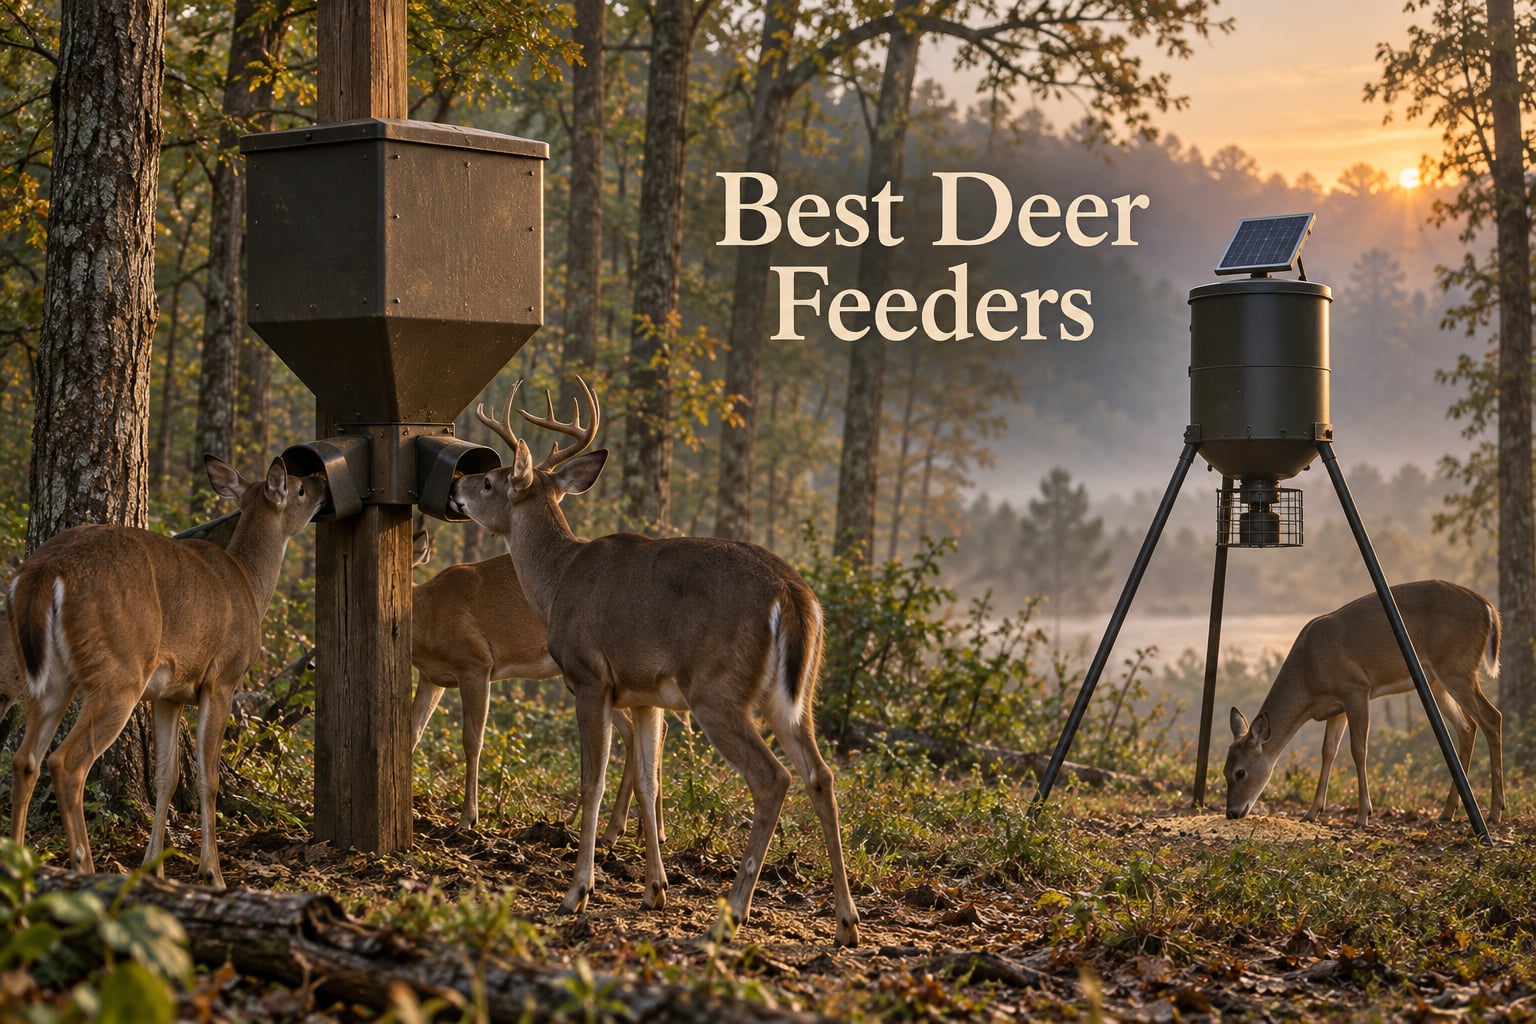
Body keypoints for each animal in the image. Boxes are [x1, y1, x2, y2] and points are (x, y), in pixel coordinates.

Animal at [8, 454, 327, 886]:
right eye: (299, 488)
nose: (321, 479)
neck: (249, 584)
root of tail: (46, 569)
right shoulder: (222, 679)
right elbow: (207, 779)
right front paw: (213, 873)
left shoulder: (168, 695)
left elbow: (167, 777)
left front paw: (153, 867)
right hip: (119, 674)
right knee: (66, 763)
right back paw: (85, 867)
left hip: (49, 679)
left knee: (25, 760)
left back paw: (18, 864)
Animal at [408, 525, 662, 842]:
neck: (430, 616)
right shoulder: (432, 678)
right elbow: (413, 732)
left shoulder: (475, 663)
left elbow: (472, 740)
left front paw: (469, 818)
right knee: (635, 731)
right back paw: (624, 830)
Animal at [446, 378, 859, 947]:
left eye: (488, 481)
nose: (454, 489)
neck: (556, 581)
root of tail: (792, 594)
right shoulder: (645, 696)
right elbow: (648, 782)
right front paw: (654, 890)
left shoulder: (590, 677)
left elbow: (592, 782)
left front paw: (577, 893)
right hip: (795, 697)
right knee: (821, 774)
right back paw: (846, 922)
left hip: (716, 688)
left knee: (773, 778)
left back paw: (729, 917)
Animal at [1225, 579, 1504, 829]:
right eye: (1224, 771)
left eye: (1240, 772)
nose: (1232, 813)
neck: (1308, 675)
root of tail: (1488, 607)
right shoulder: (1334, 707)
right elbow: (1328, 751)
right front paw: (1312, 813)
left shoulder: (1356, 688)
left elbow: (1358, 750)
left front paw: (1362, 816)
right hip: (1437, 681)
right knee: (1467, 727)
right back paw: (1448, 812)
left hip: (1457, 668)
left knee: (1492, 717)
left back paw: (1494, 812)